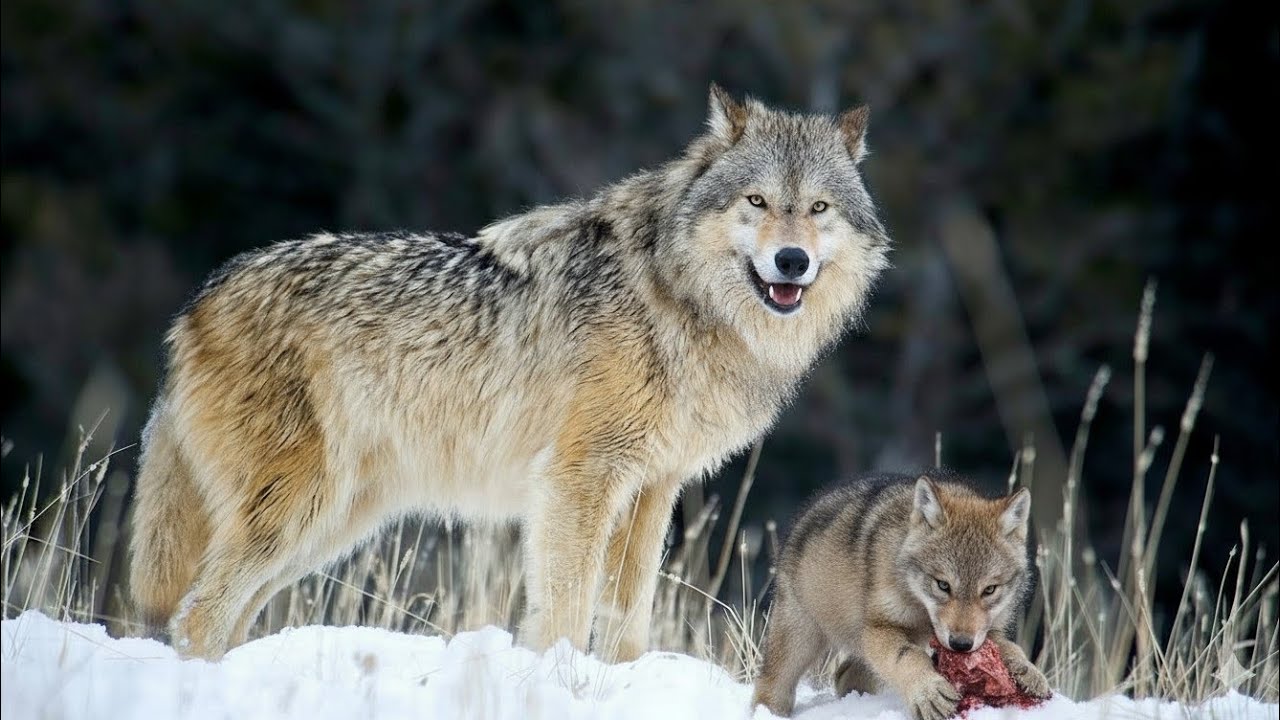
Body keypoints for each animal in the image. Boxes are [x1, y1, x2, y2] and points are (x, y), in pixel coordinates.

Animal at [128, 85, 891, 662]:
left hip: (331, 523)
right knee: (197, 615)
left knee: (222, 616)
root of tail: (198, 300)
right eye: (756, 201)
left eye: (818, 207)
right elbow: (564, 611)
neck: (677, 299)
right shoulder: (578, 479)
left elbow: (628, 619)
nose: (791, 260)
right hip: (299, 509)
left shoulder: (653, 489)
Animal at [751, 472, 1051, 719]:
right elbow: (908, 657)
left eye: (989, 590)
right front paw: (928, 691)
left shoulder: (987, 631)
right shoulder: (879, 629)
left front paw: (1027, 671)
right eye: (943, 585)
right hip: (799, 642)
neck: (921, 610)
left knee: (845, 674)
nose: (960, 645)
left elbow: (1009, 647)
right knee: (770, 686)